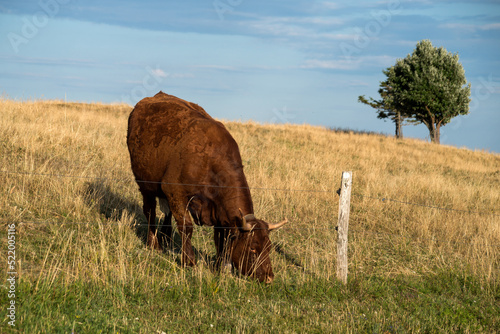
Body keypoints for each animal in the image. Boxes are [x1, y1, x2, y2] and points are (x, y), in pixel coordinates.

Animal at [127, 92, 288, 284]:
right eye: (253, 248)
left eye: (269, 248)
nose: (269, 277)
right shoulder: (174, 190)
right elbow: (186, 227)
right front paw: (189, 261)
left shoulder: (220, 211)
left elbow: (221, 237)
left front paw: (221, 266)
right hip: (146, 183)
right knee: (150, 211)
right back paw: (154, 244)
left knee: (166, 213)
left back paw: (166, 239)